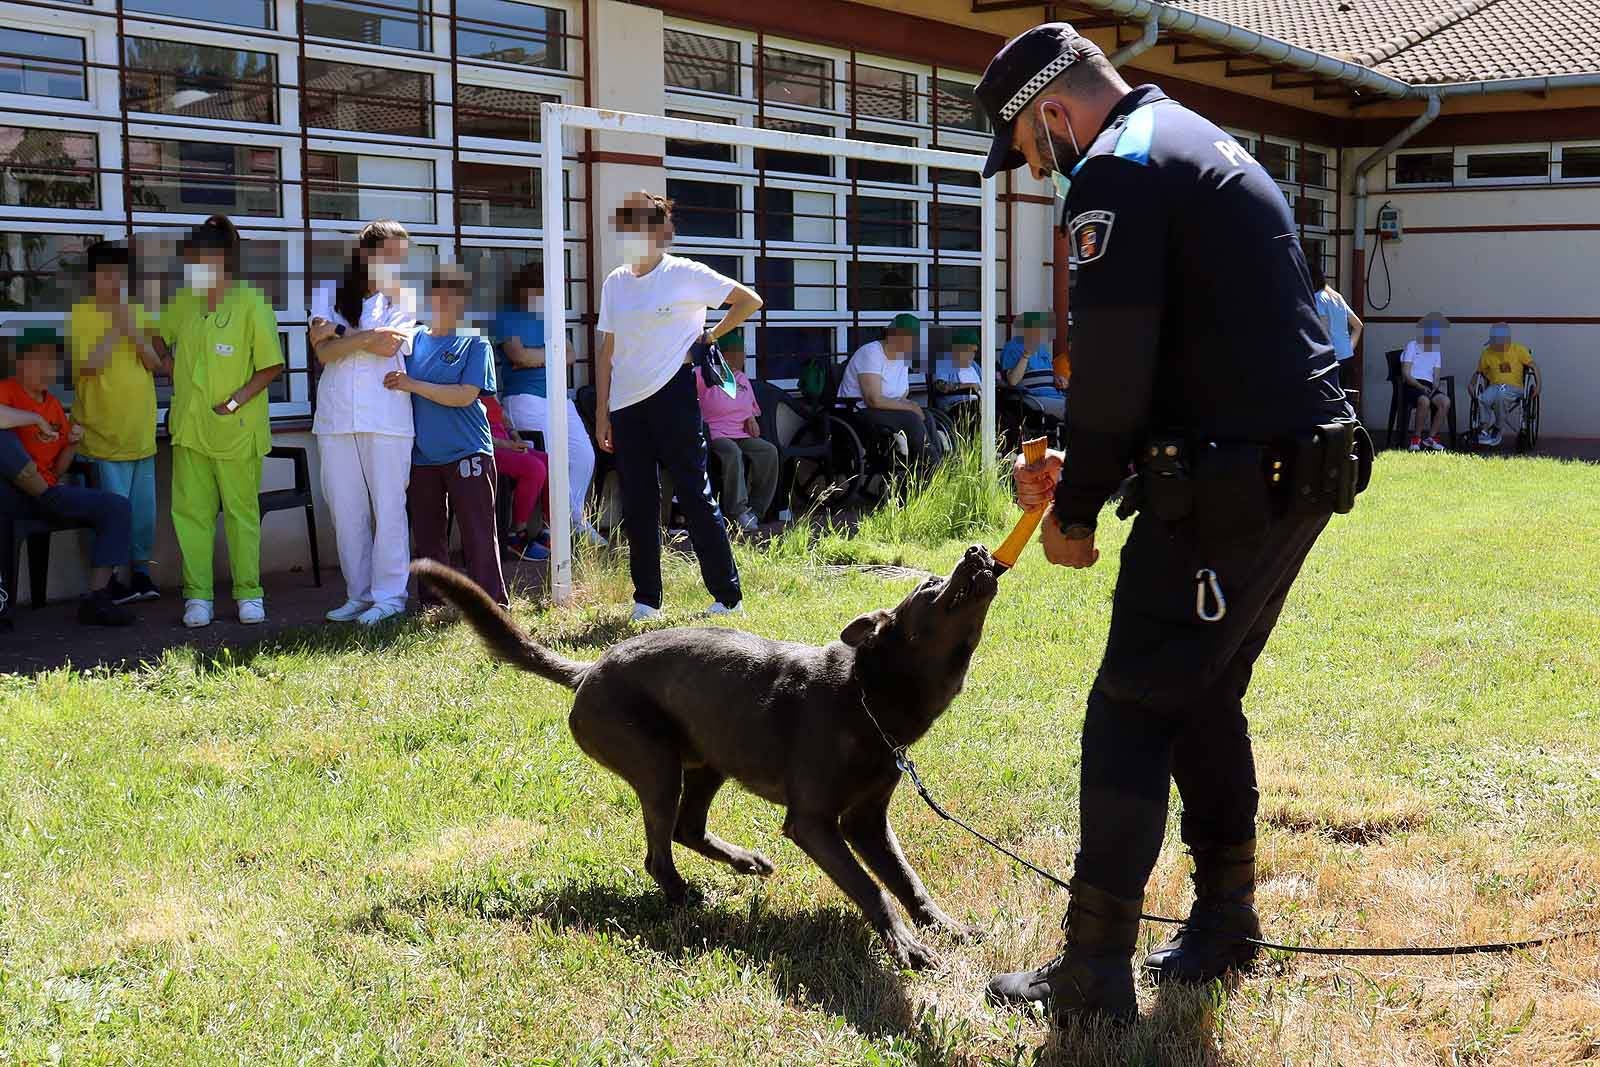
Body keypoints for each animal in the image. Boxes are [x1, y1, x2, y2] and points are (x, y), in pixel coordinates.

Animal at [419, 547, 1004, 972]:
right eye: (928, 589)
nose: (977, 550)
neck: (867, 695)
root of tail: (588, 671)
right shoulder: (814, 823)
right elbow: (872, 888)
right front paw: (908, 947)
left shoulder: (867, 823)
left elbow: (906, 879)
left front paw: (947, 928)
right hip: (657, 767)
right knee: (659, 853)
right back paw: (685, 897)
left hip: (708, 763)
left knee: (687, 829)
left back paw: (745, 862)